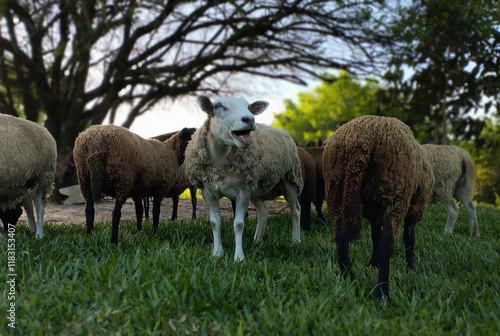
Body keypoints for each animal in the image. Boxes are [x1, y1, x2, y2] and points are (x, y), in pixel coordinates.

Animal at [183, 96, 302, 262]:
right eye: (218, 106)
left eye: (248, 107)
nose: (249, 119)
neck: (220, 161)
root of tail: (283, 131)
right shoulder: (208, 192)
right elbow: (215, 223)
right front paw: (217, 253)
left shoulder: (242, 191)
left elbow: (238, 224)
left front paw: (239, 257)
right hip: (255, 186)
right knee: (263, 211)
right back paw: (257, 240)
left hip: (289, 177)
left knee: (295, 210)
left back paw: (295, 241)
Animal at [324, 115, 434, 300]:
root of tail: (361, 138)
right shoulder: (414, 207)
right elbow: (409, 239)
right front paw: (410, 269)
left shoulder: (375, 211)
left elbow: (375, 235)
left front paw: (373, 263)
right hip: (397, 193)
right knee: (387, 243)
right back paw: (381, 292)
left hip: (335, 190)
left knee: (340, 237)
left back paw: (348, 279)